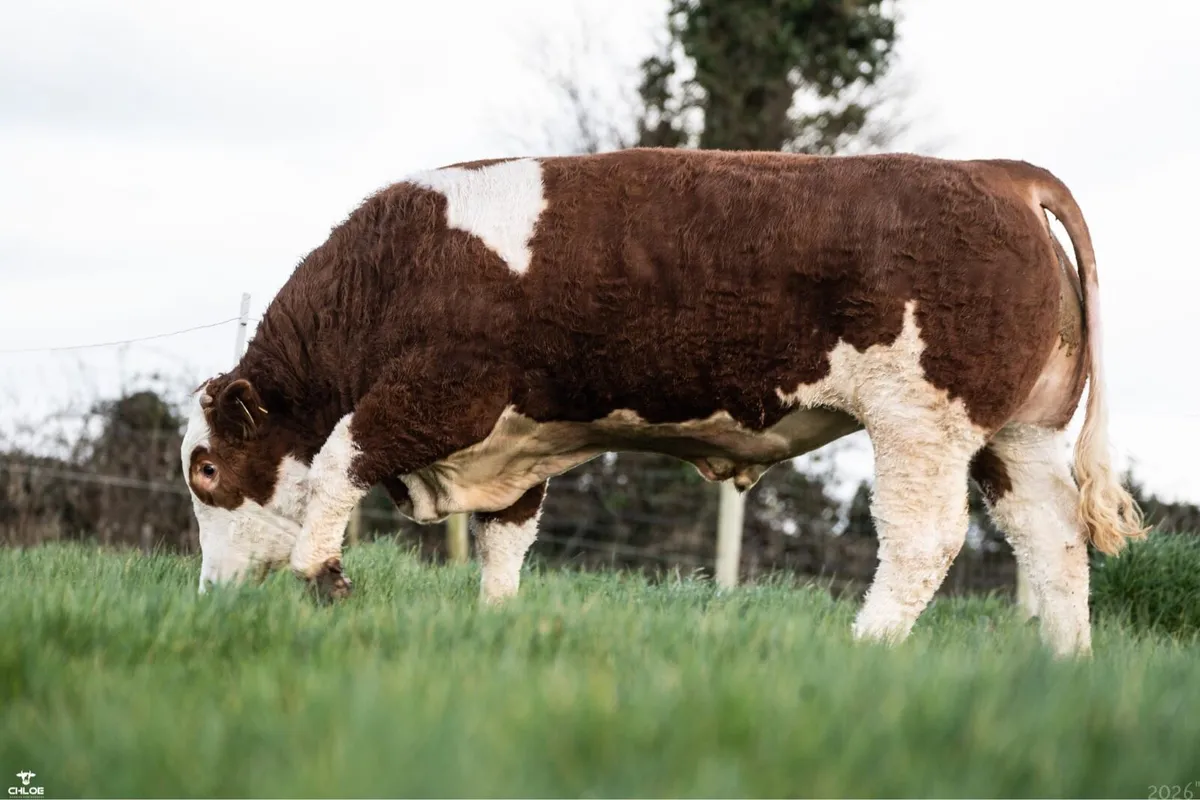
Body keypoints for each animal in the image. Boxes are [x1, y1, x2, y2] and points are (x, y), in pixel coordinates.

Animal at [181, 147, 1146, 656]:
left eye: (206, 471)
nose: (207, 596)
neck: (397, 268)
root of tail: (998, 173)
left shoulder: (440, 393)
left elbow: (337, 458)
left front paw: (322, 574)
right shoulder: (515, 441)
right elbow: (507, 540)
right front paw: (497, 623)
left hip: (923, 424)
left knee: (924, 541)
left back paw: (864, 647)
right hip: (1016, 437)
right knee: (1053, 541)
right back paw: (1064, 663)